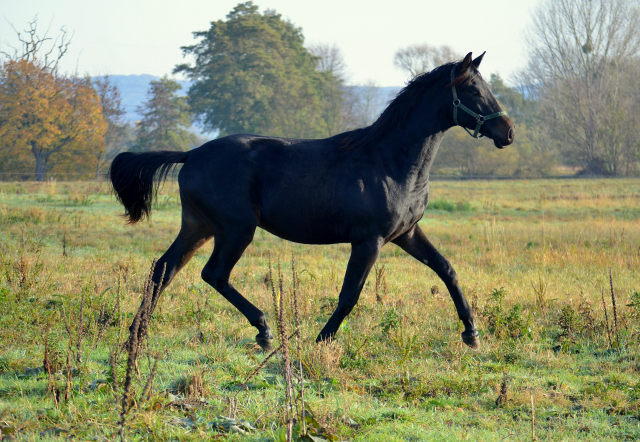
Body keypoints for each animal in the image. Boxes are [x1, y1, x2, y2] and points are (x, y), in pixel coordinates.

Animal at [110, 52, 516, 348]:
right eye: (473, 90)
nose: (508, 132)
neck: (391, 162)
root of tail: (191, 153)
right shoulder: (369, 240)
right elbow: (350, 294)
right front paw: (323, 338)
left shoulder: (406, 234)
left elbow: (447, 269)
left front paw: (471, 333)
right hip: (236, 229)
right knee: (213, 274)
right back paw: (263, 330)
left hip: (199, 227)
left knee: (163, 269)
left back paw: (136, 335)